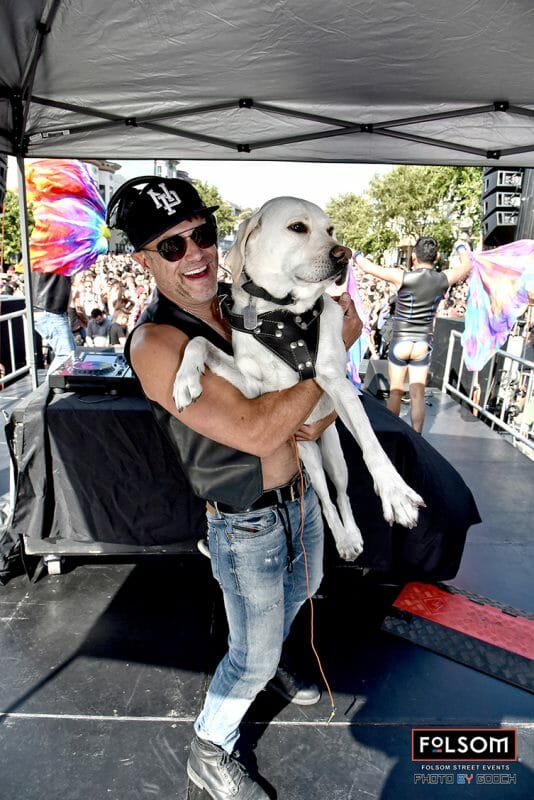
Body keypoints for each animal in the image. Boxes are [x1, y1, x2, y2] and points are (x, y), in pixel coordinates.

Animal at [173, 197, 424, 560]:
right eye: (297, 227)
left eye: (330, 230)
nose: (344, 254)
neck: (280, 313)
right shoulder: (252, 387)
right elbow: (197, 342)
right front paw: (184, 380)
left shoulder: (335, 381)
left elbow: (371, 445)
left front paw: (395, 492)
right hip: (307, 456)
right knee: (324, 499)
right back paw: (342, 538)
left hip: (335, 455)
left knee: (342, 494)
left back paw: (352, 536)